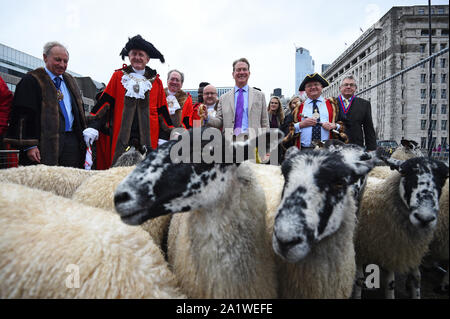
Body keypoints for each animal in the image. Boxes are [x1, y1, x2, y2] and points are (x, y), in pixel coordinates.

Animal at [354, 153, 448, 300]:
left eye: (444, 178)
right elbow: (366, 280)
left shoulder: (403, 250)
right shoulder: (362, 249)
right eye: (404, 173)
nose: (424, 218)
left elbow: (414, 278)